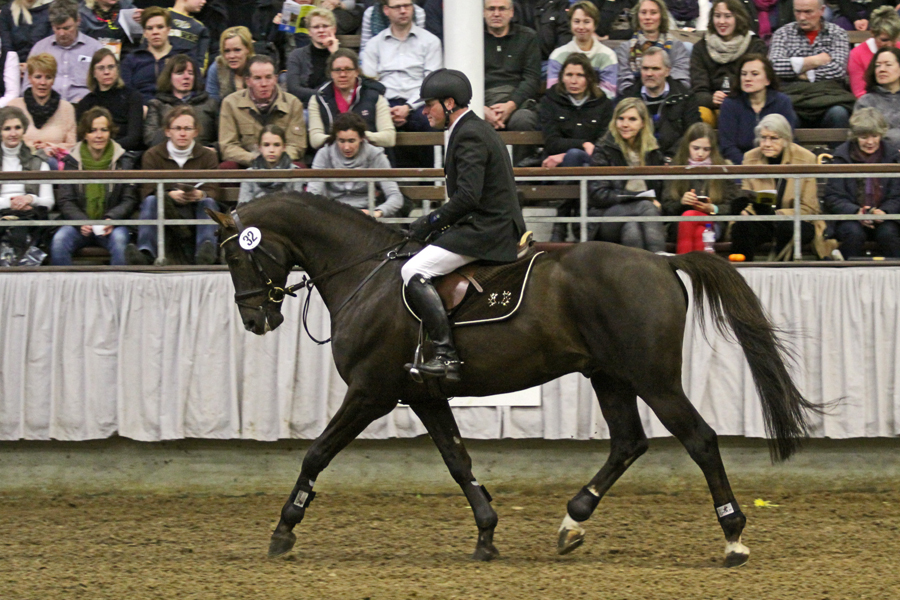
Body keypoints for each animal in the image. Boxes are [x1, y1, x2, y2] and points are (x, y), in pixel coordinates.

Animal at [209, 192, 816, 568]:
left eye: (238, 260)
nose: (256, 320)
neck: (366, 273)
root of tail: (662, 261)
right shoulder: (422, 394)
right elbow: (458, 462)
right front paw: (486, 533)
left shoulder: (371, 392)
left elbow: (316, 453)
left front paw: (283, 531)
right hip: (608, 375)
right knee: (628, 442)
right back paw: (572, 523)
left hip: (654, 378)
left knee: (700, 440)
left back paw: (733, 537)